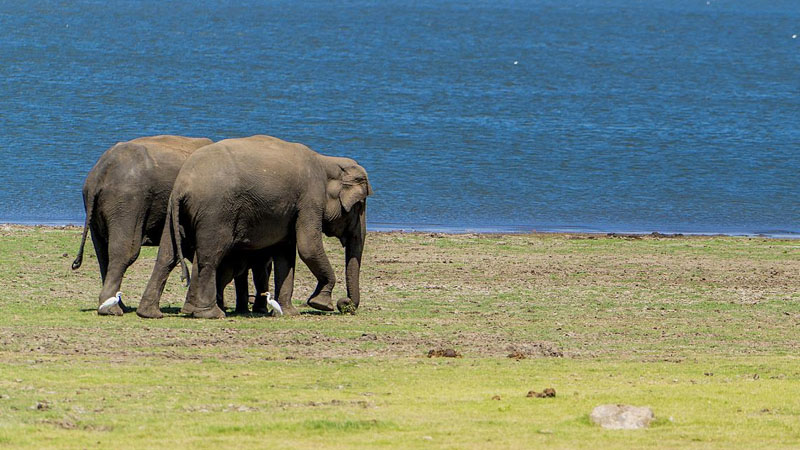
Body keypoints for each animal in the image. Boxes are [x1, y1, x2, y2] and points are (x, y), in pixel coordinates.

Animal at [137, 134, 372, 320]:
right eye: (359, 205)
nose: (344, 305)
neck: (327, 160)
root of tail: (182, 185)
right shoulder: (310, 199)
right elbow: (308, 247)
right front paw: (321, 304)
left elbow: (286, 253)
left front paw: (289, 312)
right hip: (216, 212)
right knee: (209, 257)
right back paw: (211, 314)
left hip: (176, 212)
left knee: (166, 256)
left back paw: (151, 313)